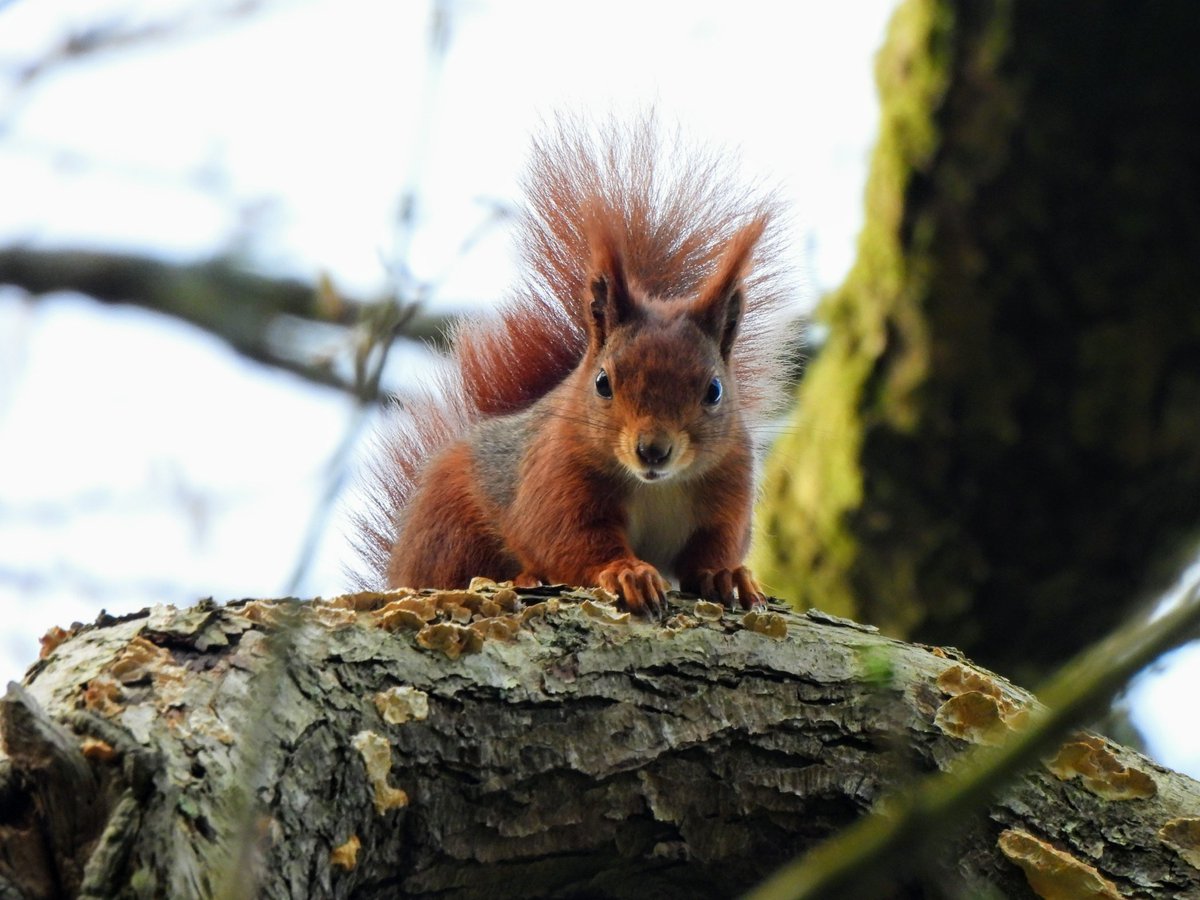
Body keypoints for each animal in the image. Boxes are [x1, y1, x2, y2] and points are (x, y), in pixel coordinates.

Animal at [352, 117, 797, 618]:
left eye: (715, 390)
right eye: (603, 383)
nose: (653, 450)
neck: (654, 486)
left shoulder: (729, 484)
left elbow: (716, 545)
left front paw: (727, 575)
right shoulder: (556, 475)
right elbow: (569, 539)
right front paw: (627, 573)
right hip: (450, 523)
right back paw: (522, 577)